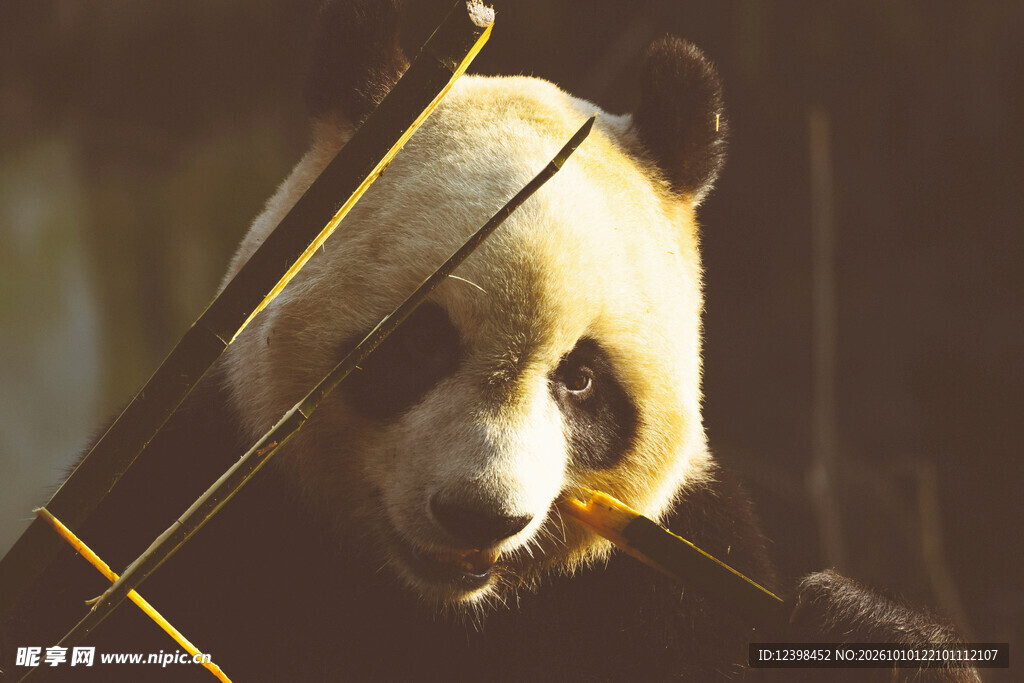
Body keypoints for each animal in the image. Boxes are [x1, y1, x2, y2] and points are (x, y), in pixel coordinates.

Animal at [1, 2, 977, 681]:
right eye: (420, 347)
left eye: (581, 380)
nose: (479, 516)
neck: (443, 607)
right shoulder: (188, 492)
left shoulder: (661, 575)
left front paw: (870, 633)